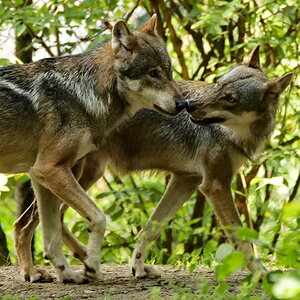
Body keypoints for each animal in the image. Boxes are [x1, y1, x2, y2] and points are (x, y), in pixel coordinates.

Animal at [12, 45, 292, 282]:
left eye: (231, 98)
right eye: (218, 84)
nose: (189, 106)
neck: (234, 135)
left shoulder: (186, 180)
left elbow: (151, 227)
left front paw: (138, 266)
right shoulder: (215, 185)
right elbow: (242, 237)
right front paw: (260, 273)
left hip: (84, 175)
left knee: (40, 221)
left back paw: (75, 259)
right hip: (68, 175)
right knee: (28, 223)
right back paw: (35, 271)